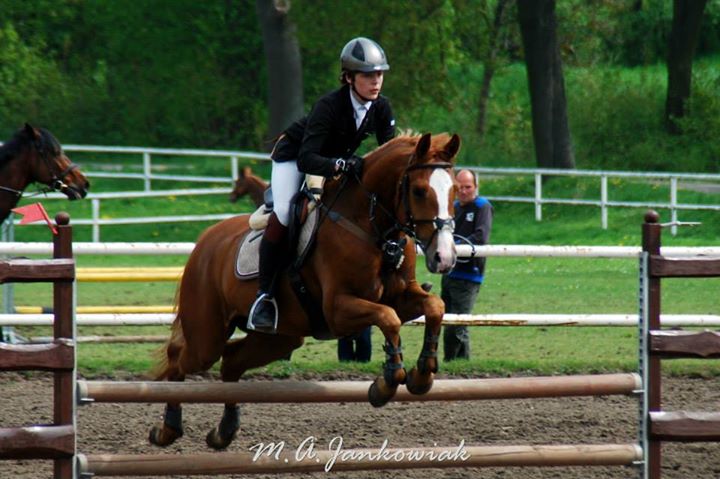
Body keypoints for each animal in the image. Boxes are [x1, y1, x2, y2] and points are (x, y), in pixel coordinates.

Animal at [149, 132, 460, 450]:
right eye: (420, 191)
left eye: (456, 191)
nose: (444, 258)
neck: (372, 227)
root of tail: (205, 240)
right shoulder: (338, 310)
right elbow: (388, 318)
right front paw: (385, 384)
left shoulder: (401, 297)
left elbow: (434, 307)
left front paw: (422, 375)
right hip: (207, 336)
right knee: (179, 358)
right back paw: (167, 430)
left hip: (280, 338)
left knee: (232, 362)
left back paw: (223, 432)